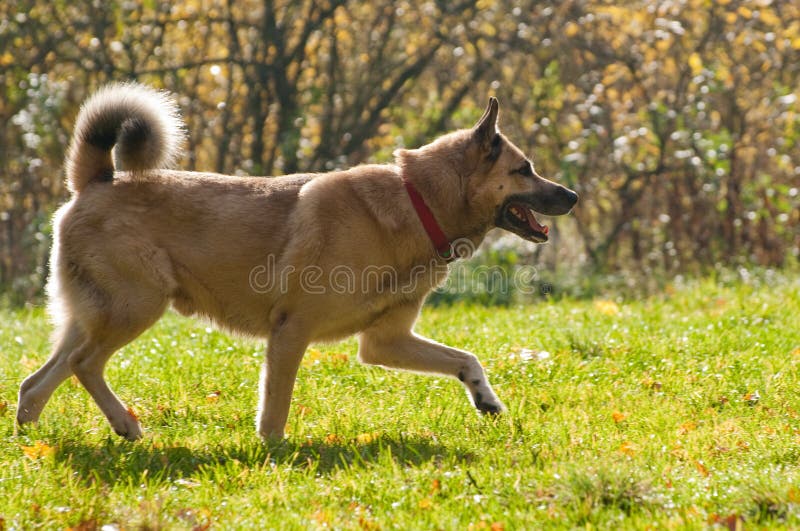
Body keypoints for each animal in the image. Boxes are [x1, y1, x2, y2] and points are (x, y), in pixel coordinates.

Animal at [15, 83, 580, 440]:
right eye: (524, 169)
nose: (573, 195)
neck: (416, 199)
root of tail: (94, 180)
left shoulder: (384, 342)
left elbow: (467, 360)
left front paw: (487, 400)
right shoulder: (291, 333)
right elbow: (275, 409)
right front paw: (273, 453)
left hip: (94, 316)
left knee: (38, 381)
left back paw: (35, 442)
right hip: (137, 307)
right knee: (84, 365)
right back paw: (125, 424)